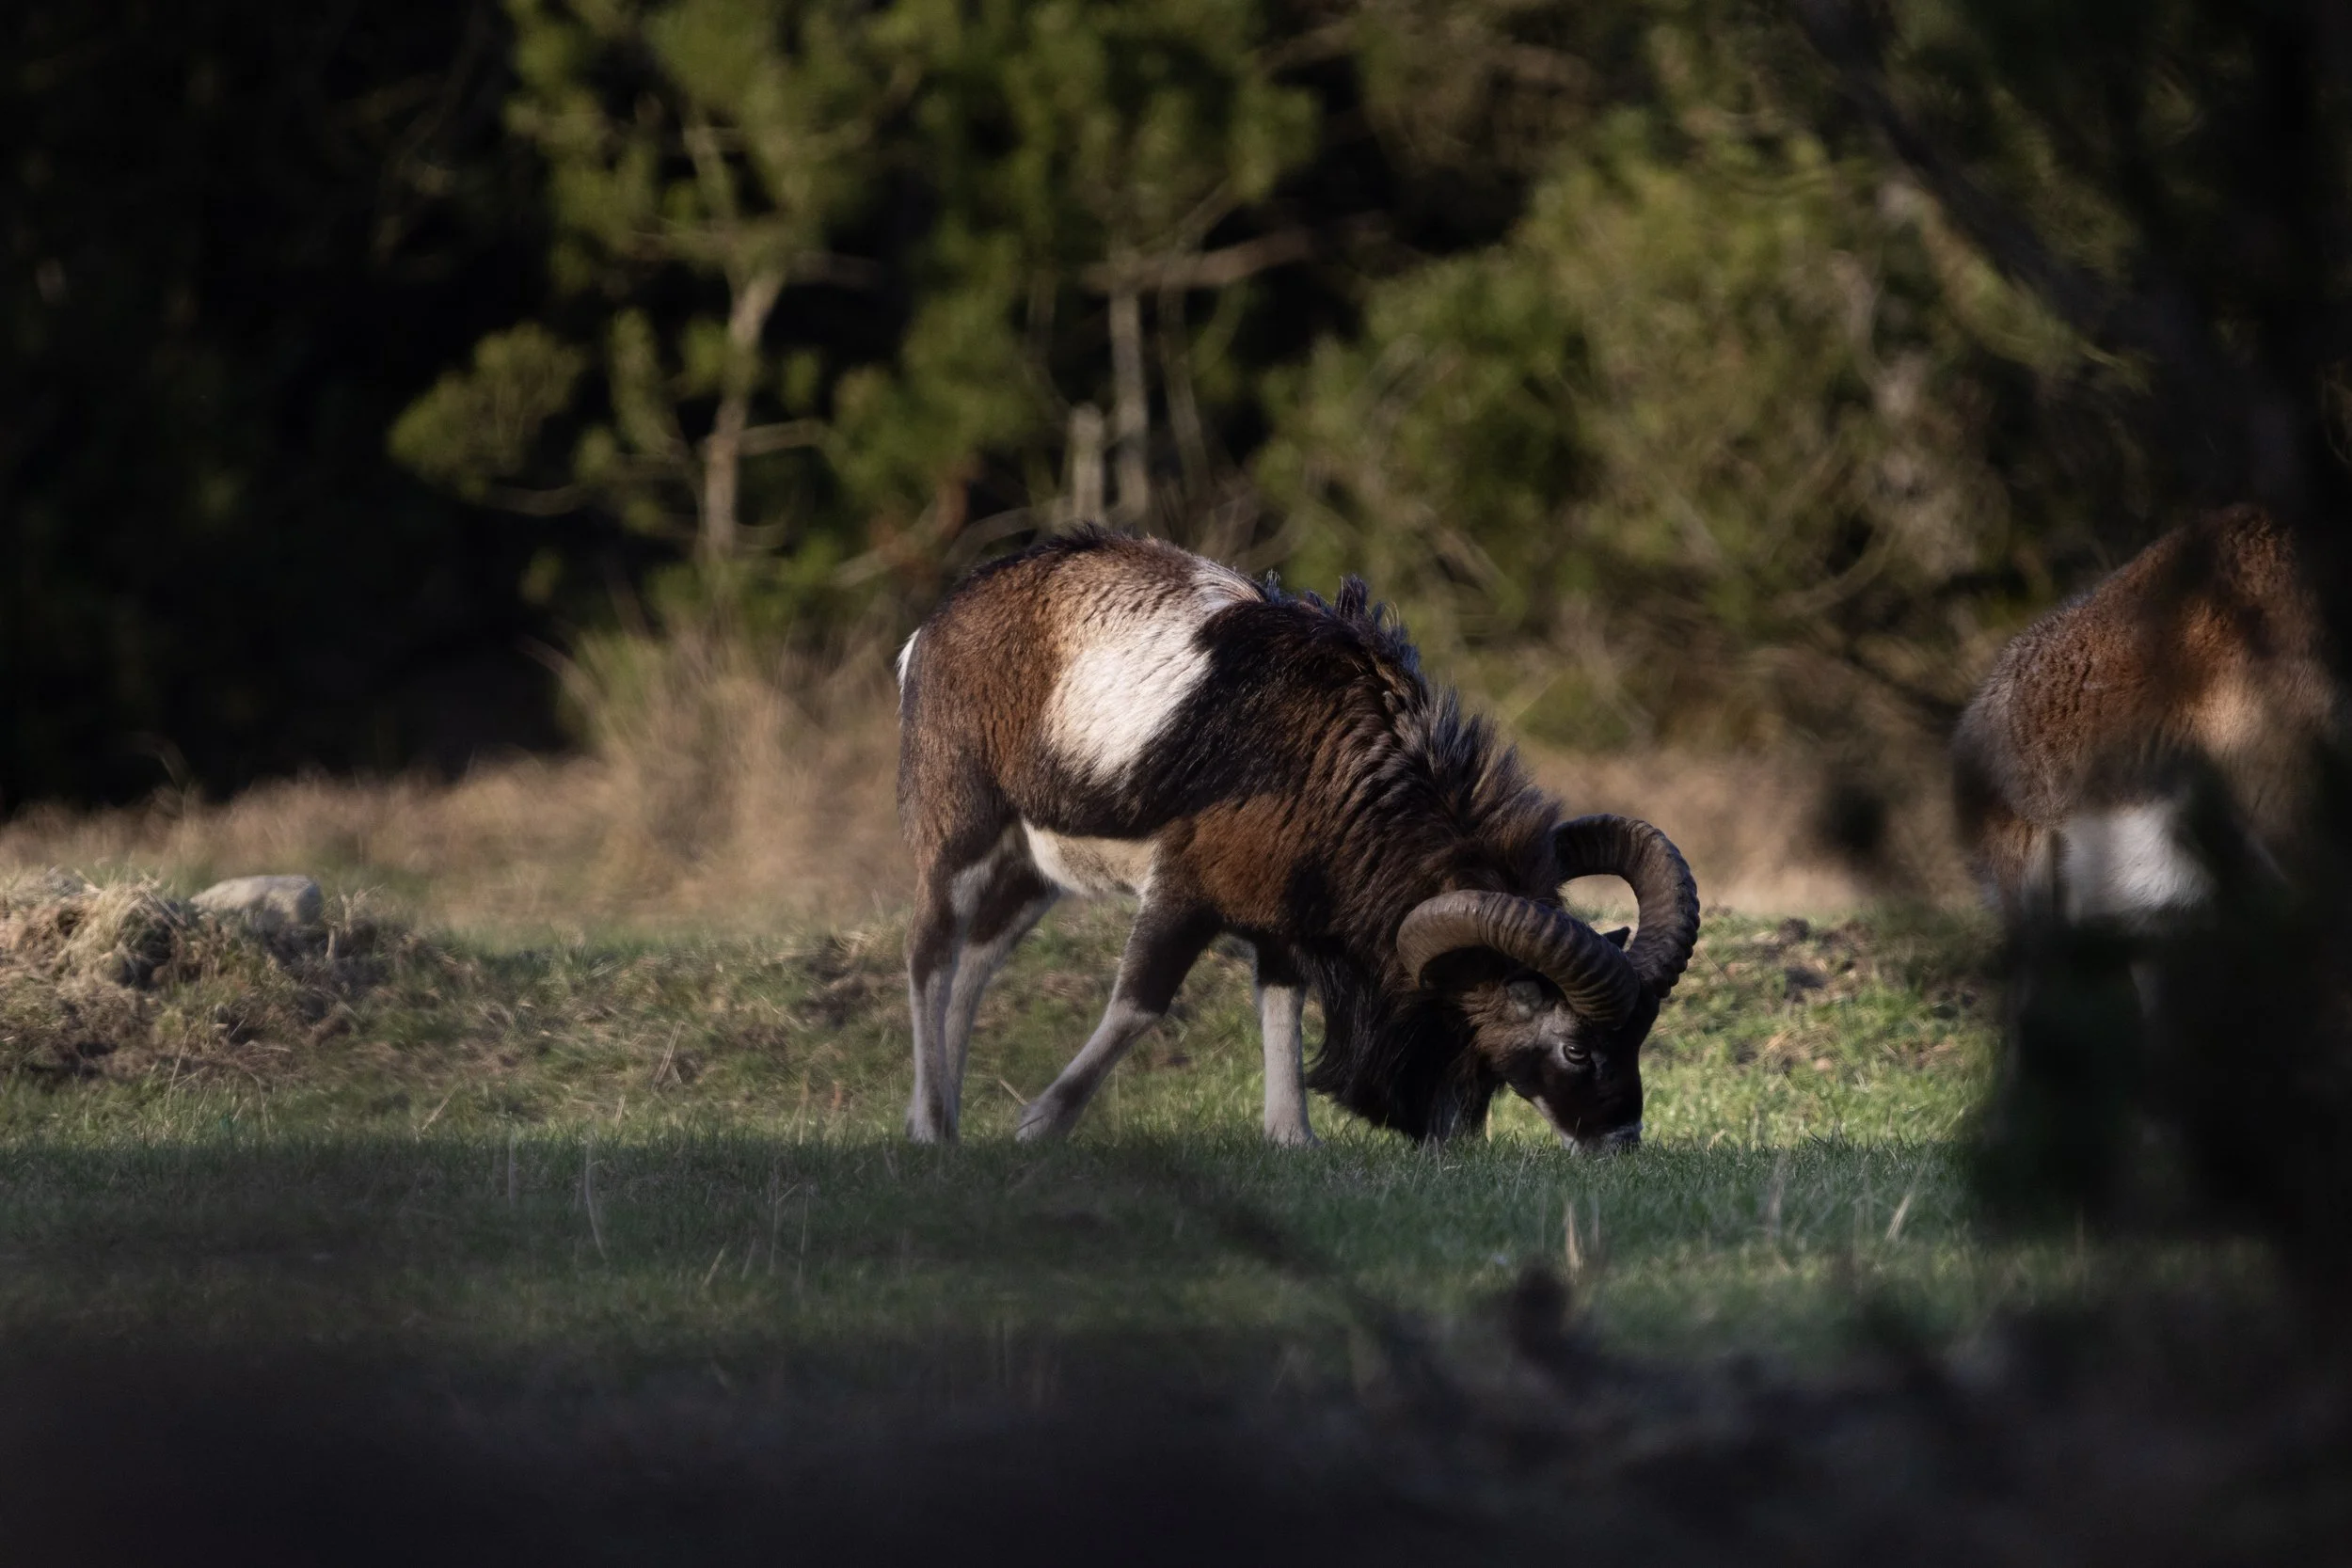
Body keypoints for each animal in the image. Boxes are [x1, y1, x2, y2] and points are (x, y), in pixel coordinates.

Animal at [895, 529, 1701, 1148]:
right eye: (1576, 1046)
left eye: (1638, 1034)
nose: (1618, 1138)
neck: (1333, 759)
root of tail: (932, 631)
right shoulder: (1186, 890)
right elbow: (1139, 1003)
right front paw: (1040, 1125)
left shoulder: (1279, 914)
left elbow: (1281, 1005)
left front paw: (1292, 1137)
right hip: (959, 829)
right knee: (932, 951)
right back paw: (931, 1127)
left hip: (1034, 872)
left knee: (977, 961)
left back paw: (948, 1121)